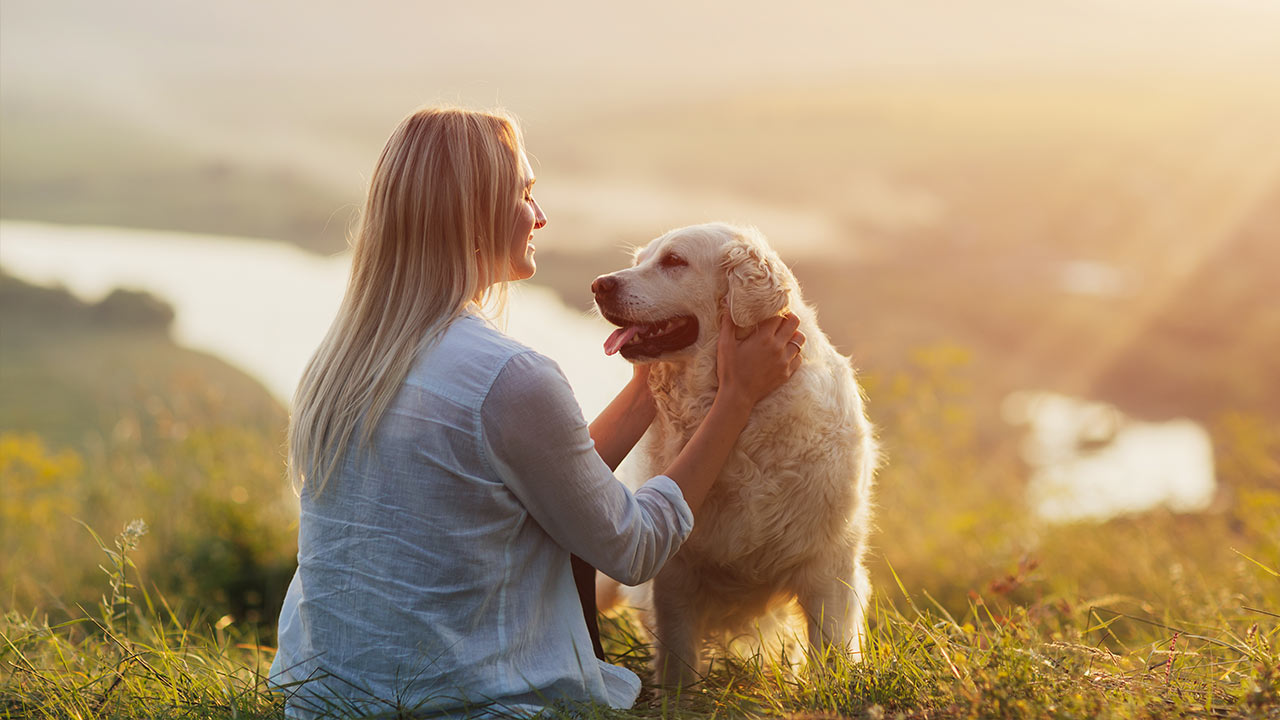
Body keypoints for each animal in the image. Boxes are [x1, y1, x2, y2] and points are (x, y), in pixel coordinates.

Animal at [591, 220, 880, 681]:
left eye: (674, 261)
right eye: (639, 260)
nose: (600, 284)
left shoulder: (826, 565)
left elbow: (830, 652)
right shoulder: (674, 575)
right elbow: (677, 662)